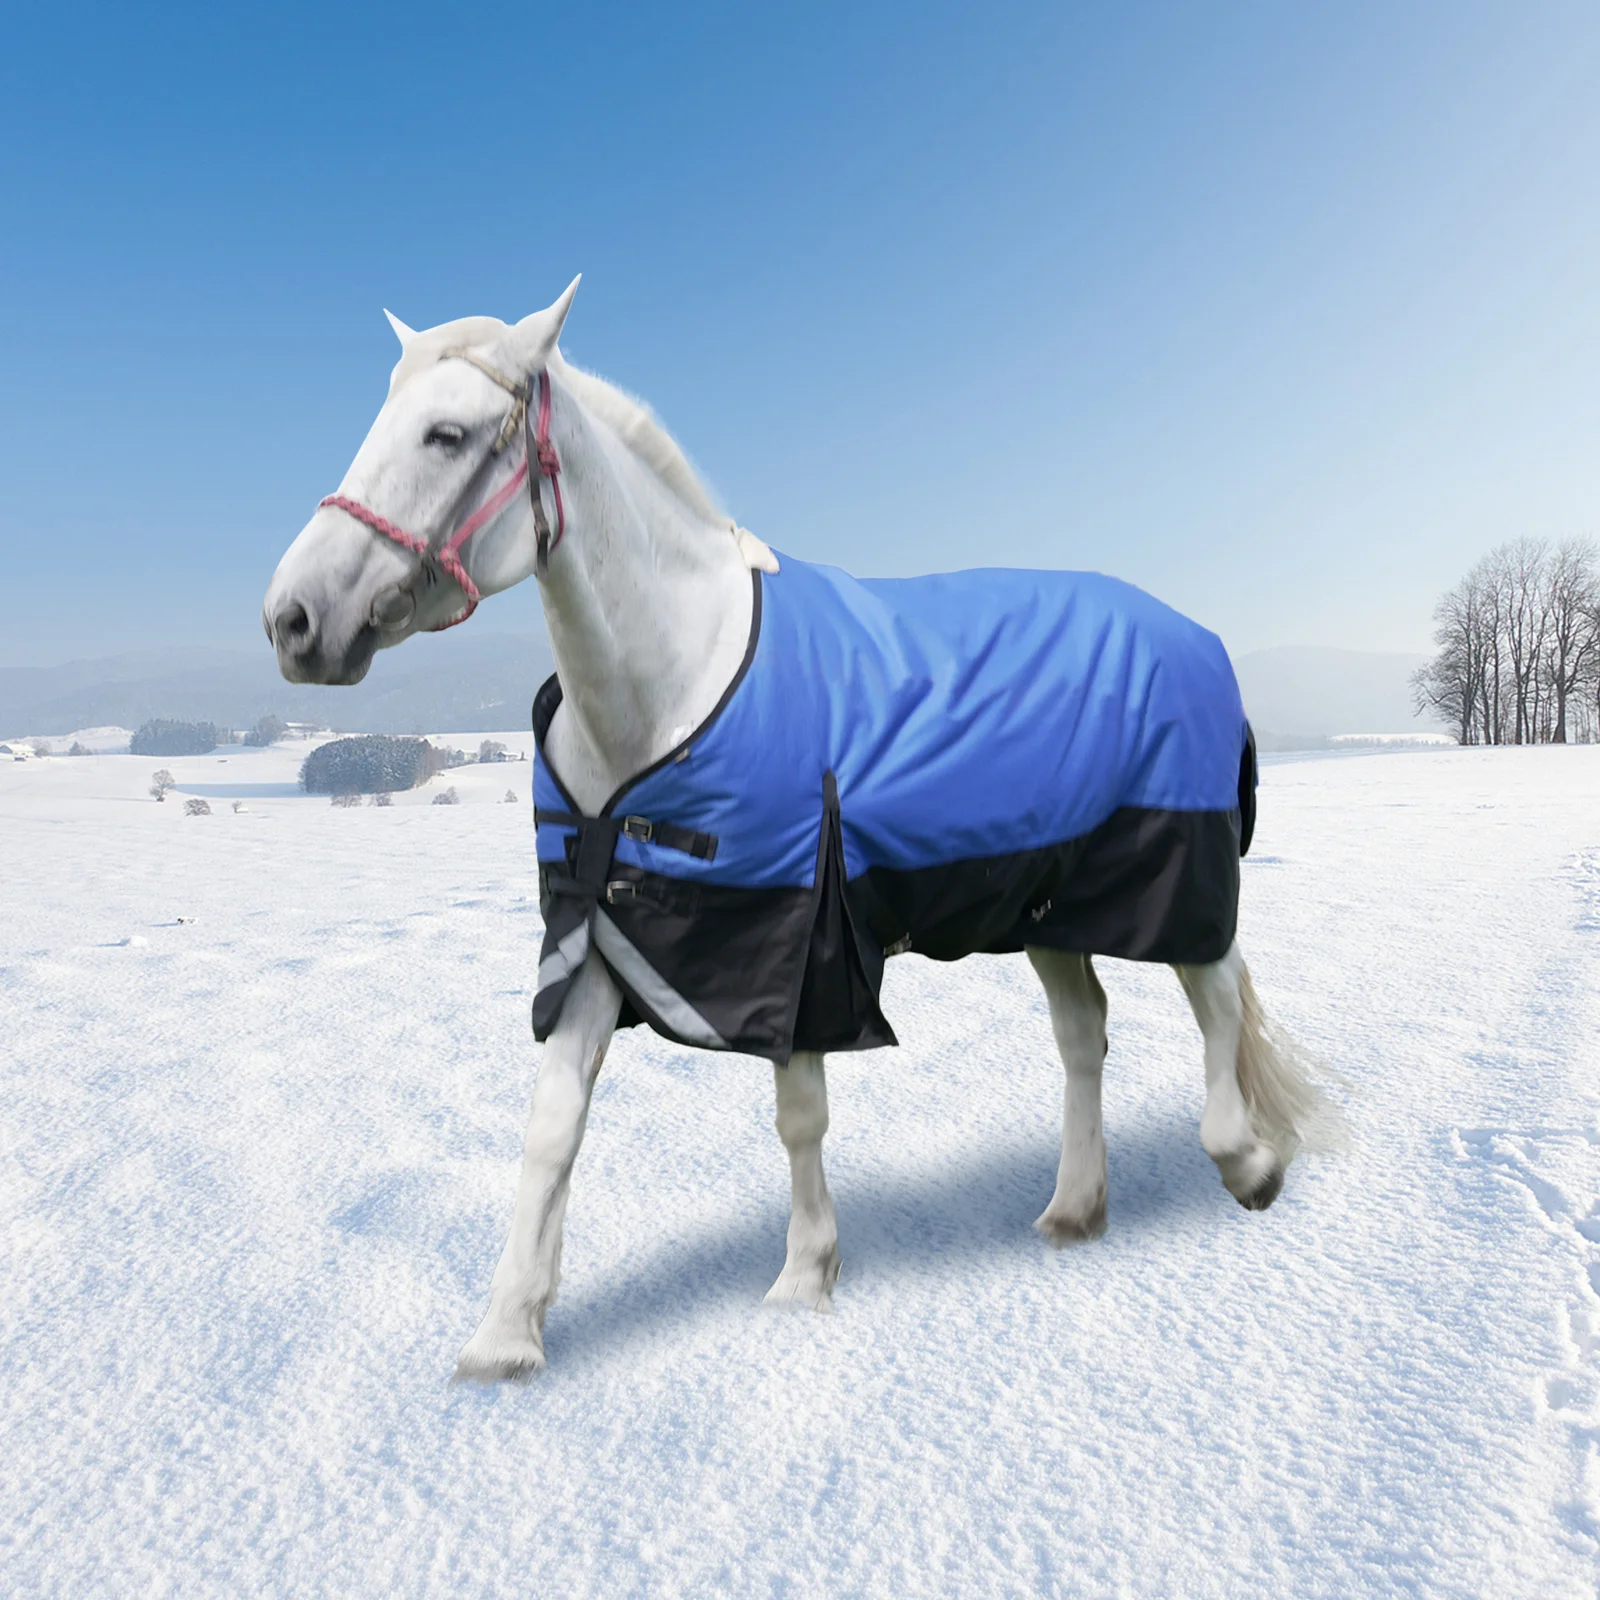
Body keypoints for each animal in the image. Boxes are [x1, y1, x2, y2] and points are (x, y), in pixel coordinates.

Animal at [264, 279, 1331, 1381]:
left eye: (448, 434)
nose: (292, 620)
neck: (671, 687)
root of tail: (1194, 632)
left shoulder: (795, 941)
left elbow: (798, 1116)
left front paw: (802, 1278)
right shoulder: (600, 936)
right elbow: (552, 1128)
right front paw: (506, 1334)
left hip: (1171, 870)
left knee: (1217, 992)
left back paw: (1247, 1160)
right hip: (1044, 900)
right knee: (1085, 1032)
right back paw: (1075, 1209)